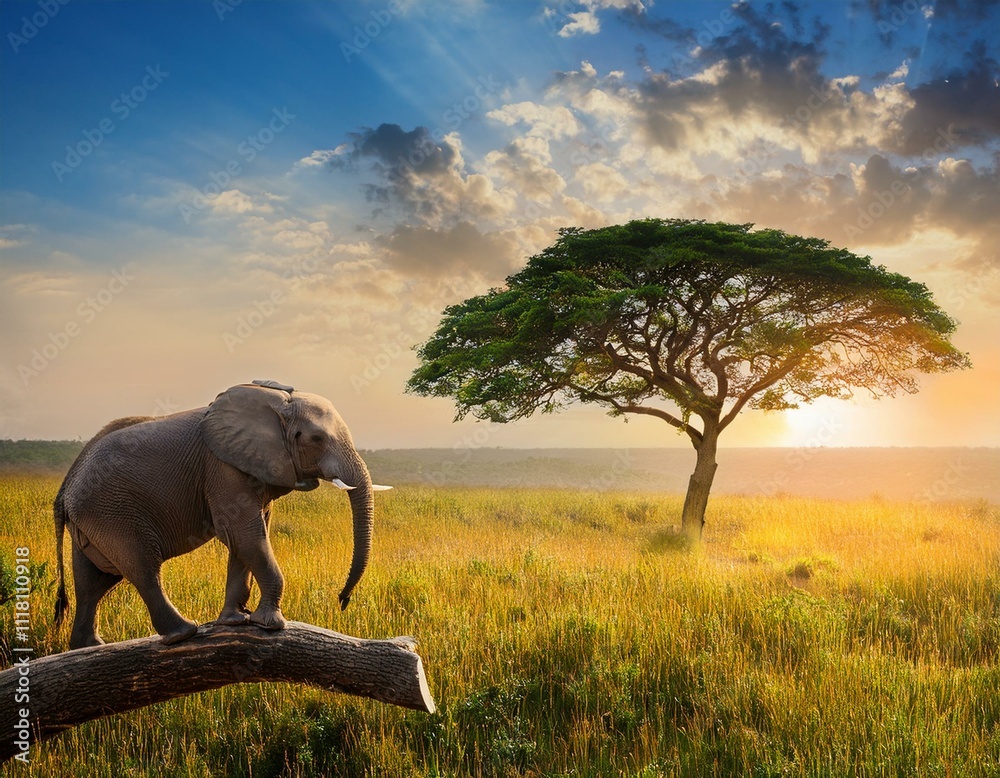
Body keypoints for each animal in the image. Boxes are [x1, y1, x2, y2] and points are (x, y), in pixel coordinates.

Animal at [53, 380, 387, 649]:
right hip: (112, 512)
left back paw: (88, 646)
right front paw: (270, 624)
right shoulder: (223, 468)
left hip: (93, 519)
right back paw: (184, 633)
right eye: (316, 439)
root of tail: (65, 488)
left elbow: (249, 539)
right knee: (142, 568)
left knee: (94, 580)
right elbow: (244, 534)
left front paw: (235, 621)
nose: (342, 600)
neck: (277, 404)